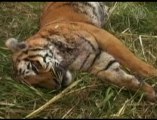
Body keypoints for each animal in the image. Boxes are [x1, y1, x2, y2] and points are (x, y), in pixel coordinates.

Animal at [4, 1, 157, 101]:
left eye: (34, 67)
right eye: (37, 85)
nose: (58, 85)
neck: (67, 60)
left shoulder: (101, 35)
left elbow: (132, 61)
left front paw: (153, 74)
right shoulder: (96, 62)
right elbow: (119, 78)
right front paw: (149, 92)